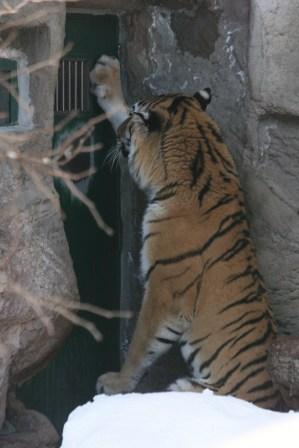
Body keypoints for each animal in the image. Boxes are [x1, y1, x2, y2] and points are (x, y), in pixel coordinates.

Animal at [89, 55, 286, 410]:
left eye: (133, 121)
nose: (121, 133)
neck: (205, 156)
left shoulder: (164, 289)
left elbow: (140, 344)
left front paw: (116, 382)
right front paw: (106, 75)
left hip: (189, 388)